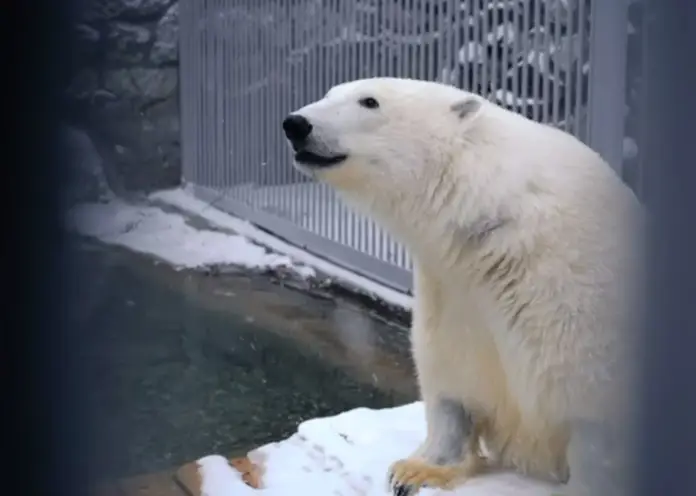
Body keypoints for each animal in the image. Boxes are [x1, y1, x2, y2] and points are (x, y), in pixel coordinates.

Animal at [282, 78, 640, 496]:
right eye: (328, 93)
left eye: (369, 101)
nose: (296, 123)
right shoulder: (453, 285)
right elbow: (451, 370)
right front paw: (416, 471)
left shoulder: (574, 294)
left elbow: (590, 407)